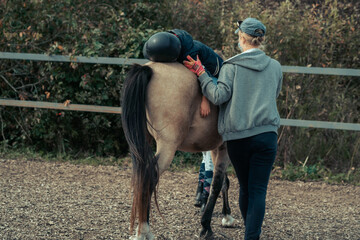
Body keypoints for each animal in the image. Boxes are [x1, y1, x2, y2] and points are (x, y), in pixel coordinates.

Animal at [121, 61, 233, 239]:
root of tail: (149, 68)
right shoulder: (225, 148)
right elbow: (217, 183)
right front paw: (206, 226)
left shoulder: (216, 148)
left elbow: (222, 182)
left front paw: (226, 215)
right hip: (168, 147)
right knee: (149, 176)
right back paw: (144, 230)